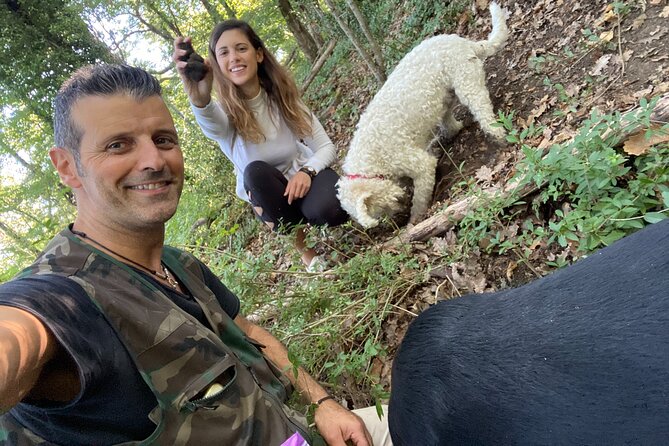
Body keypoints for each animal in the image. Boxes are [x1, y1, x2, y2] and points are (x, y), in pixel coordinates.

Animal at [336, 1, 508, 228]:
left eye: (378, 210)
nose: (398, 213)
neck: (371, 160)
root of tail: (462, 41)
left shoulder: (421, 165)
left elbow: (420, 198)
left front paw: (415, 219)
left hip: (466, 83)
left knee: (482, 109)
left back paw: (497, 135)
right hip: (445, 96)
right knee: (448, 118)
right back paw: (450, 133)